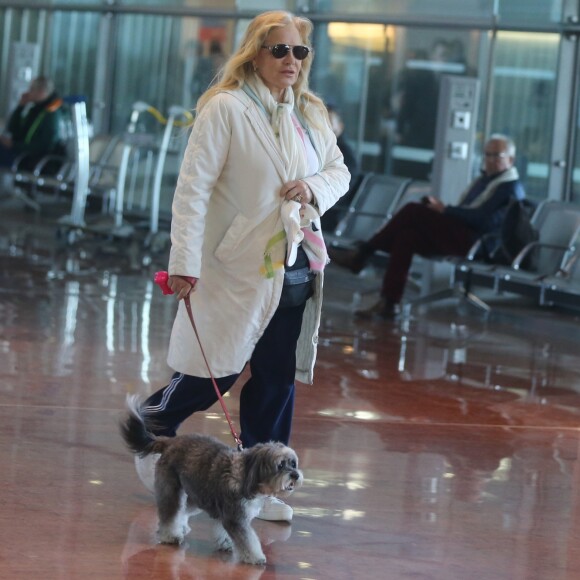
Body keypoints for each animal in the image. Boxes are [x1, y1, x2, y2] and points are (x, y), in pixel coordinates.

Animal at [120, 396, 306, 564]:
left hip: (197, 495)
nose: (295, 475)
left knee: (182, 511)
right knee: (170, 514)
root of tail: (170, 442)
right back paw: (171, 535)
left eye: (293, 463)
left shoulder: (223, 512)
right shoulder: (235, 518)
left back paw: (182, 526)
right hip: (172, 490)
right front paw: (255, 557)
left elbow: (222, 531)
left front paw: (225, 544)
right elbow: (248, 540)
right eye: (280, 465)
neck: (246, 476)